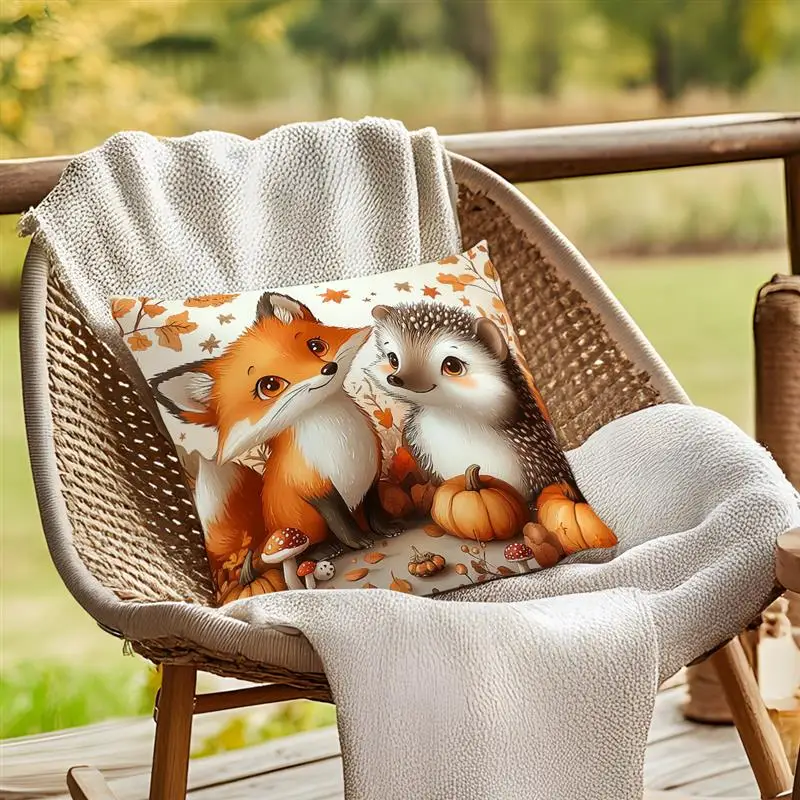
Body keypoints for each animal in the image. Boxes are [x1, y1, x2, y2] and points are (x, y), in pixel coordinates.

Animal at [151, 292, 393, 561]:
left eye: (316, 346)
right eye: (270, 386)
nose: (329, 368)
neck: (344, 444)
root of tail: (262, 534)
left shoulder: (372, 468)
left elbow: (374, 506)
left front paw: (388, 526)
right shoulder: (312, 486)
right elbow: (340, 520)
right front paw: (359, 541)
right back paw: (324, 551)